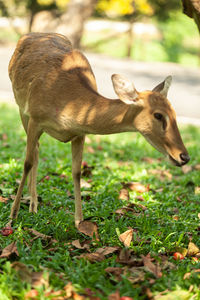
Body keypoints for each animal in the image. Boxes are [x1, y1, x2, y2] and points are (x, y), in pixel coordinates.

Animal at [7, 32, 189, 227]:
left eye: (175, 113)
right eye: (159, 115)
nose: (184, 156)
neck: (67, 104)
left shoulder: (80, 133)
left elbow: (76, 172)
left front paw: (79, 221)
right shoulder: (35, 117)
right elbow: (27, 162)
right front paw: (12, 216)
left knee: (37, 149)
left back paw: (33, 203)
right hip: (21, 109)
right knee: (34, 151)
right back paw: (31, 204)